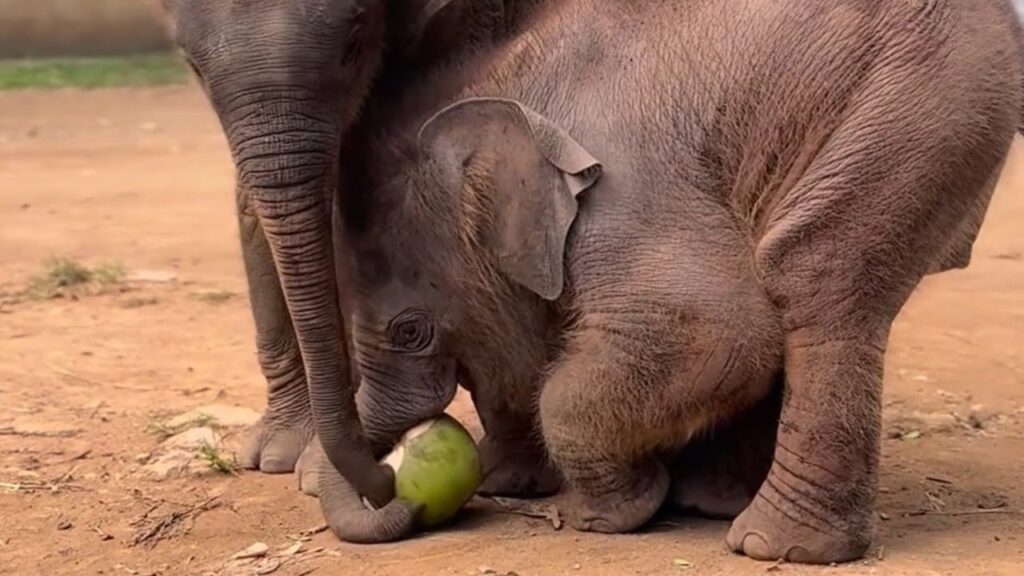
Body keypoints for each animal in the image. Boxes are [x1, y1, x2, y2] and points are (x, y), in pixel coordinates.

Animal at [327, 0, 1024, 563]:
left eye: (410, 331)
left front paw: (603, 518)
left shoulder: (624, 189)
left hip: (919, 98)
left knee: (813, 274)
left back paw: (771, 546)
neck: (498, 84)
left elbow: (717, 329)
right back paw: (713, 502)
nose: (399, 495)